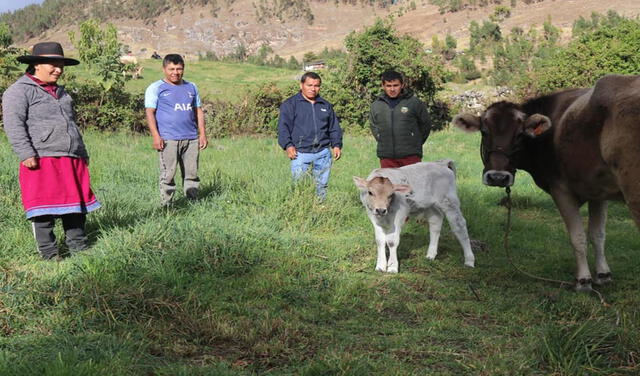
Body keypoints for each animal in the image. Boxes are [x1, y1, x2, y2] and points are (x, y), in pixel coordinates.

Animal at [452, 73, 640, 290]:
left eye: (520, 134)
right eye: (484, 131)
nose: (498, 177)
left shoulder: (560, 188)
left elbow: (578, 236)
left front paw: (583, 280)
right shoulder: (597, 191)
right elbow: (597, 235)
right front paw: (603, 275)